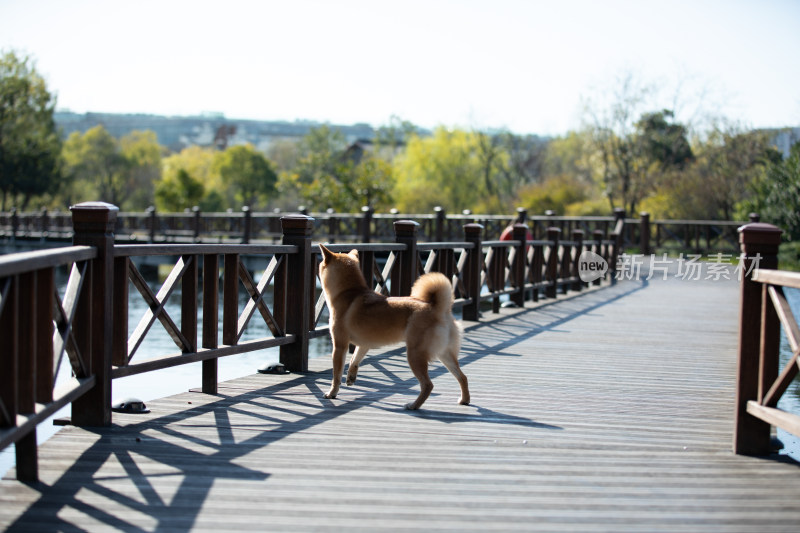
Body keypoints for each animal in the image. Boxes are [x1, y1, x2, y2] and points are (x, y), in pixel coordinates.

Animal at [318, 243, 468, 410]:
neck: (349, 292)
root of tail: (439, 309)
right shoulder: (363, 345)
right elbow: (354, 360)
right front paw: (351, 376)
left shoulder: (339, 346)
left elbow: (336, 375)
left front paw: (332, 393)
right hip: (445, 354)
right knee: (463, 377)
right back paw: (464, 400)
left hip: (415, 355)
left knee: (428, 385)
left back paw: (413, 405)